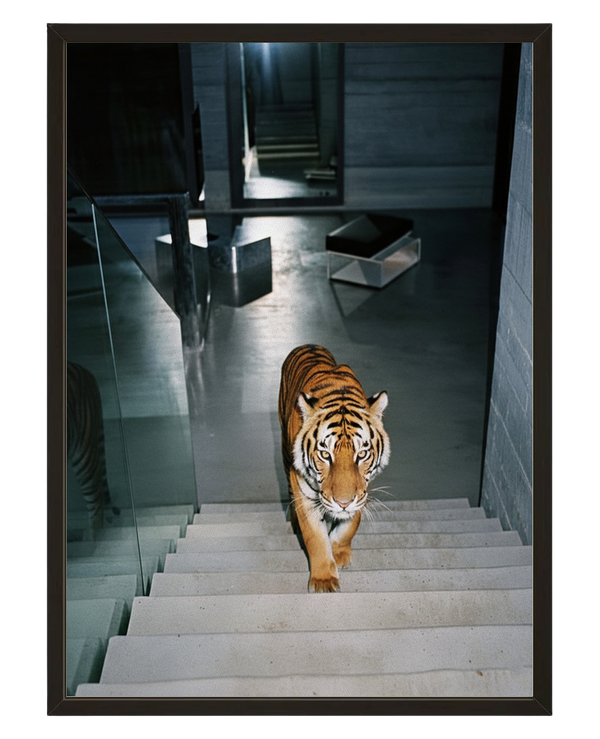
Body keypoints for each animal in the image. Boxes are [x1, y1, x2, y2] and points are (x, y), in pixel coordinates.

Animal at [278, 344, 390, 593]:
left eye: (362, 454)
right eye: (325, 455)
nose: (343, 503)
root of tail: (307, 345)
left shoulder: (363, 489)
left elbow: (351, 524)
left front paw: (339, 552)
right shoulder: (303, 489)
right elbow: (315, 537)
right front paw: (324, 580)